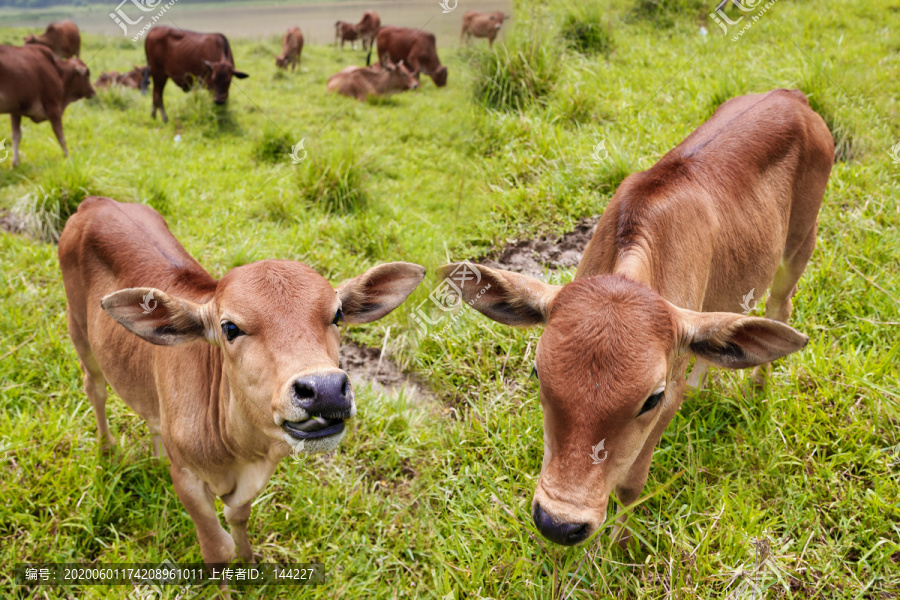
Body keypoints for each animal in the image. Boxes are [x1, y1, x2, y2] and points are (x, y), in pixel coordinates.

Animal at [59, 196, 426, 572]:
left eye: (337, 315)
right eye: (230, 328)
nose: (324, 390)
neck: (241, 452)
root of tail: (96, 201)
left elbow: (239, 517)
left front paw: (250, 561)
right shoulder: (188, 480)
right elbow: (216, 548)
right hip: (79, 330)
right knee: (94, 388)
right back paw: (107, 449)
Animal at [440, 90, 832, 548]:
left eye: (651, 398)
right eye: (538, 374)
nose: (559, 524)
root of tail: (792, 96)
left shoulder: (668, 398)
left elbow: (630, 484)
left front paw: (618, 543)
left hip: (801, 241)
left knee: (778, 306)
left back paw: (757, 387)